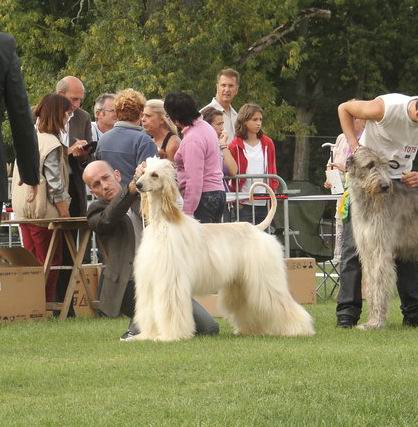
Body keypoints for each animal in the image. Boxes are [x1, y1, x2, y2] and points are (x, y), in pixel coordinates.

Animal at [128, 158, 314, 341]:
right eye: (143, 172)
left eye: (155, 175)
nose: (137, 185)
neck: (164, 223)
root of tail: (256, 228)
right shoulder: (151, 280)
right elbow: (150, 309)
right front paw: (147, 335)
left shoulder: (171, 280)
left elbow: (170, 309)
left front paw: (170, 336)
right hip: (242, 282)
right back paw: (252, 329)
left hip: (265, 278)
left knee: (282, 303)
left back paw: (298, 329)